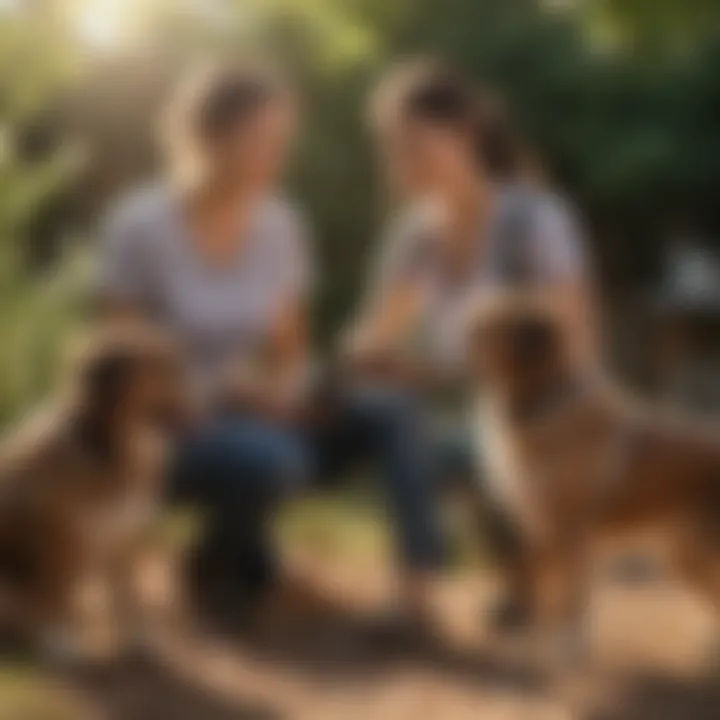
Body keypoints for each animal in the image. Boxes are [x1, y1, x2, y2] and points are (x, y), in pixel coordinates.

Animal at [0, 324, 187, 660]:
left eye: (177, 366)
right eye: (166, 369)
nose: (197, 410)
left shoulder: (122, 536)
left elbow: (129, 596)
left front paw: (142, 638)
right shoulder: (64, 541)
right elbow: (55, 596)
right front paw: (57, 641)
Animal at [466, 292, 720, 660]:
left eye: (489, 329)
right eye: (479, 323)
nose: (458, 334)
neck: (543, 397)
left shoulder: (571, 532)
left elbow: (571, 596)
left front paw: (569, 646)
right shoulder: (543, 529)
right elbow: (543, 584)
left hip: (699, 552)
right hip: (686, 556)